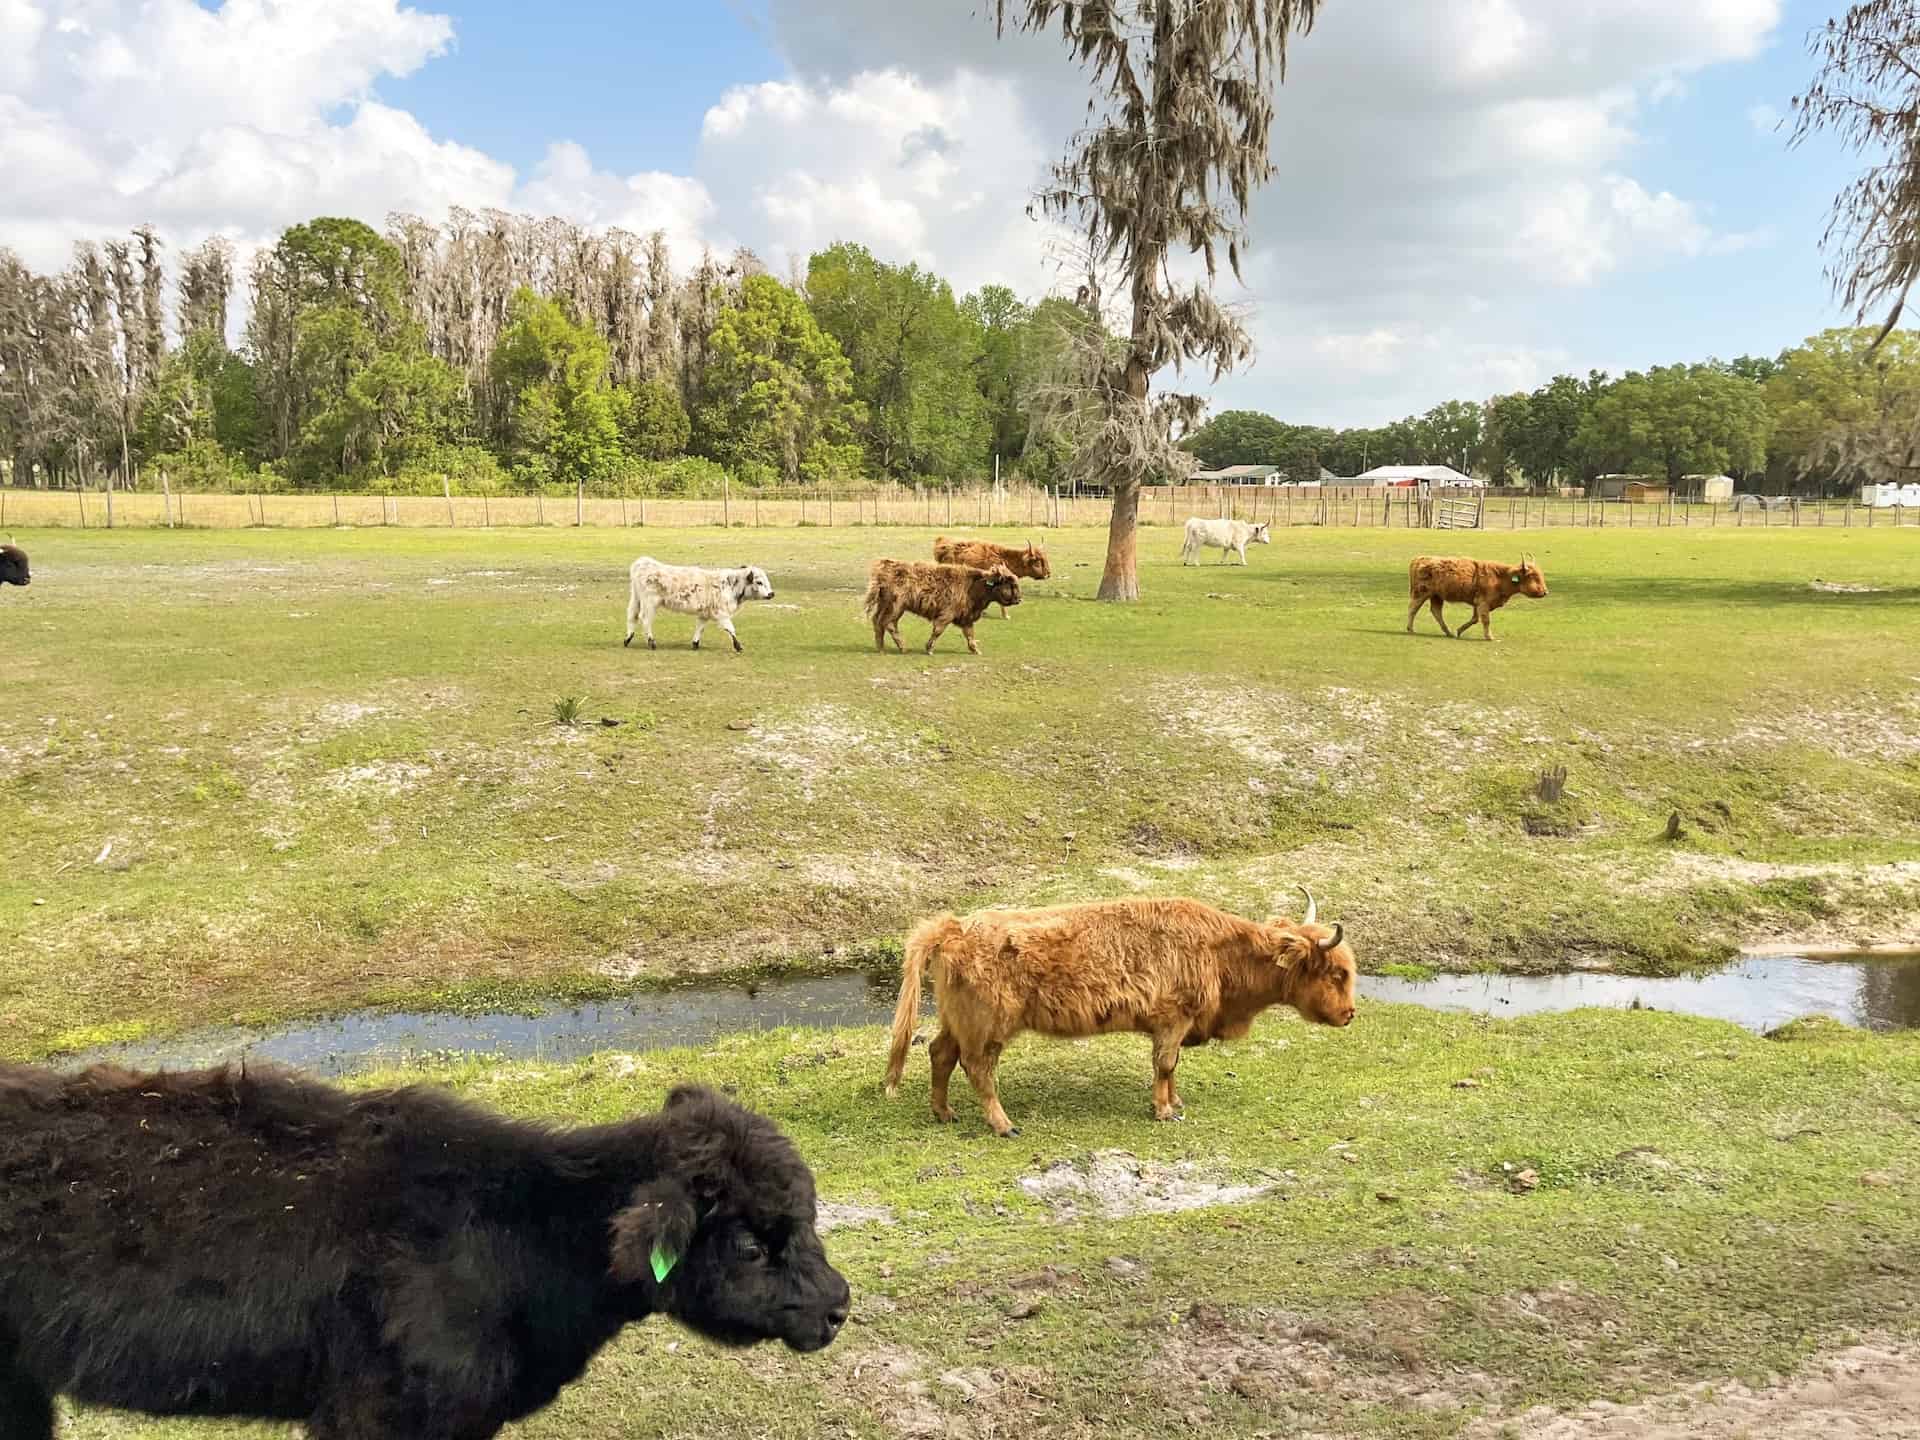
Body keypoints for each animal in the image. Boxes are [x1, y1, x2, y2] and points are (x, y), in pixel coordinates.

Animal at [629, 556, 779, 652]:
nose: (771, 594)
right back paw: (651, 642)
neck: (731, 585)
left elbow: (700, 628)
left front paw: (695, 644)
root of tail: (643, 563)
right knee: (645, 620)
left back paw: (628, 639)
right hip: (649, 604)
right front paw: (738, 646)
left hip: (636, 599)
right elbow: (730, 629)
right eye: (759, 582)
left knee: (632, 616)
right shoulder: (721, 613)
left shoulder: (704, 614)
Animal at [867, 560, 1021, 656]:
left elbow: (970, 634)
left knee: (878, 622)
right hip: (896, 608)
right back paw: (902, 648)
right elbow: (938, 631)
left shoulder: (966, 618)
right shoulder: (946, 615)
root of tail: (885, 571)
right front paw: (929, 649)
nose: (1019, 599)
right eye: (1010, 583)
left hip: (886, 606)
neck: (973, 586)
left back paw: (881, 648)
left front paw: (976, 650)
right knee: (887, 624)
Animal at [879, 890, 1351, 1136]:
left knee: (941, 1054)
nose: (1349, 1015)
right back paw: (1003, 1124)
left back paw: (943, 1113)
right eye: (1337, 972)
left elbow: (1171, 1067)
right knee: (977, 1069)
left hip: (956, 1020)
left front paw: (1175, 1101)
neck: (1220, 952)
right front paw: (1163, 1111)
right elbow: (1165, 1064)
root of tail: (955, 928)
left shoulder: (1176, 1025)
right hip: (987, 1026)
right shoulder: (1172, 1019)